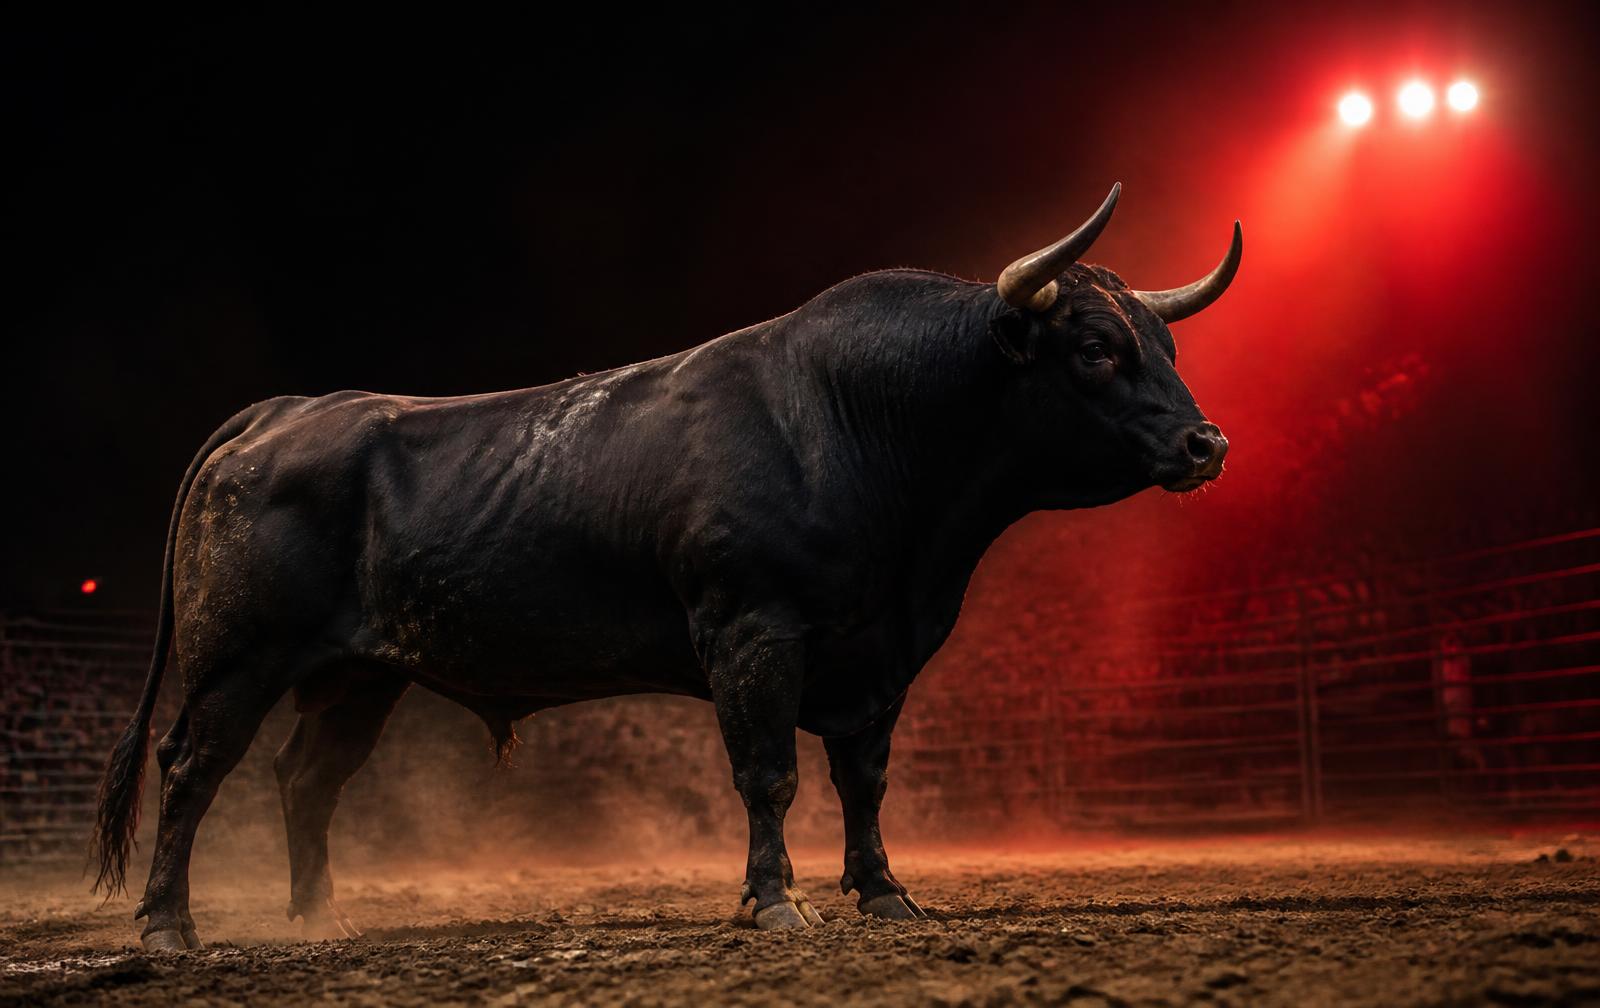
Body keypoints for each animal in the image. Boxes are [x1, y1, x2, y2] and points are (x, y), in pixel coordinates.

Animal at [93, 184, 1239, 949]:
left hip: (360, 675)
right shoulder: (750, 631)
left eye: (1167, 349)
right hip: (235, 660)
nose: (1206, 443)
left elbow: (864, 781)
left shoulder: (880, 659)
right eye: (1093, 347)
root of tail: (286, 410)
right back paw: (168, 927)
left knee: (307, 777)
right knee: (194, 767)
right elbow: (768, 773)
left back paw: (316, 919)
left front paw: (883, 894)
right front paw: (776, 902)